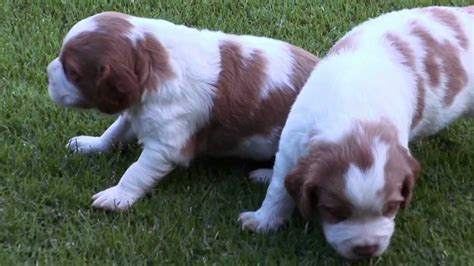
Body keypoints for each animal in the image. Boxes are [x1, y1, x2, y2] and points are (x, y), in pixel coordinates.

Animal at [46, 12, 318, 211]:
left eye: (72, 71)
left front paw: (117, 196)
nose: (47, 73)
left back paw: (264, 174)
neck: (153, 58)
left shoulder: (165, 145)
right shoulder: (137, 112)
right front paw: (90, 144)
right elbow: (113, 133)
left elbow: (136, 171)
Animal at [241, 5, 474, 260]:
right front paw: (262, 220)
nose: (366, 250)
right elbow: (278, 188)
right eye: (334, 211)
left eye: (391, 207)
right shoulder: (291, 142)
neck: (354, 122)